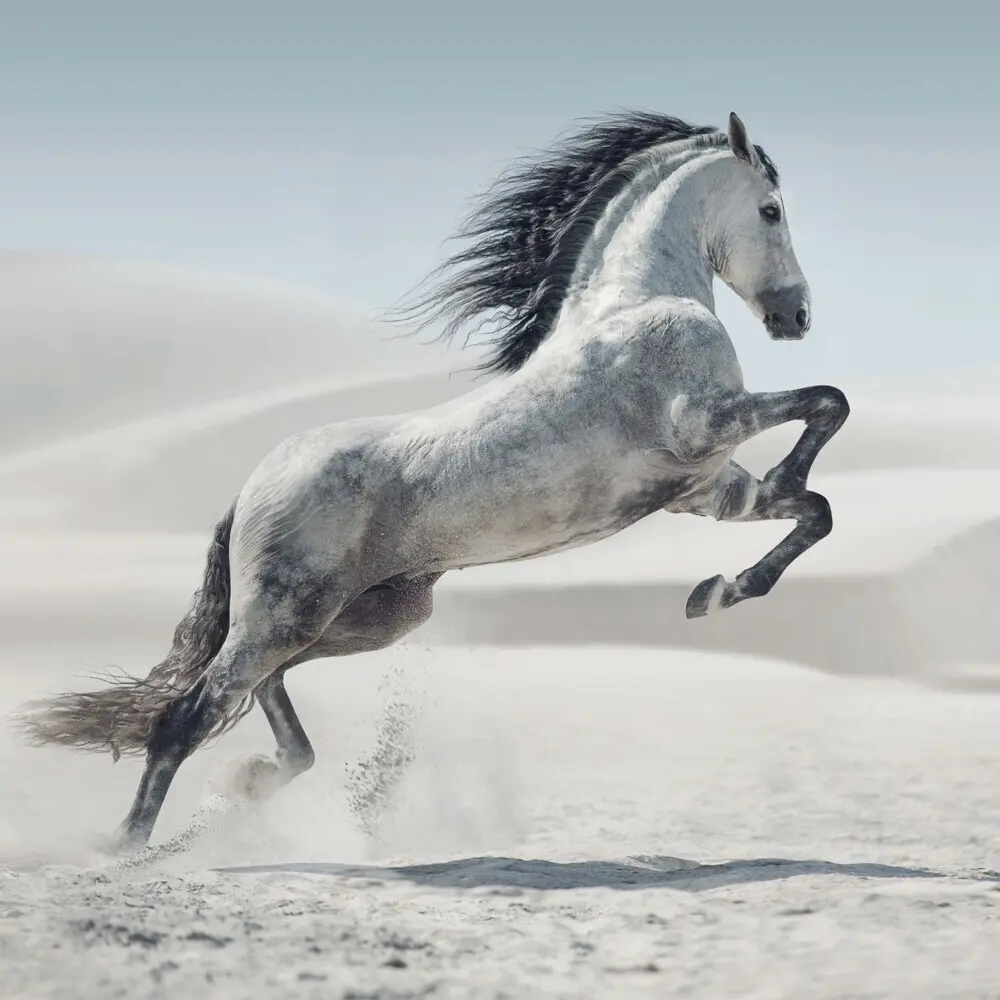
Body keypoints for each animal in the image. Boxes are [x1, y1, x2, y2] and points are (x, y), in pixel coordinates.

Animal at [15, 110, 849, 852]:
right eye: (771, 210)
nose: (798, 316)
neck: (638, 302)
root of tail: (251, 487)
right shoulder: (702, 425)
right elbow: (828, 404)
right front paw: (745, 543)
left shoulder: (706, 489)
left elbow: (815, 510)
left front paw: (716, 592)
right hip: (286, 615)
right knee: (189, 714)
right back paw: (127, 845)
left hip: (365, 617)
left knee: (264, 693)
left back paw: (252, 782)